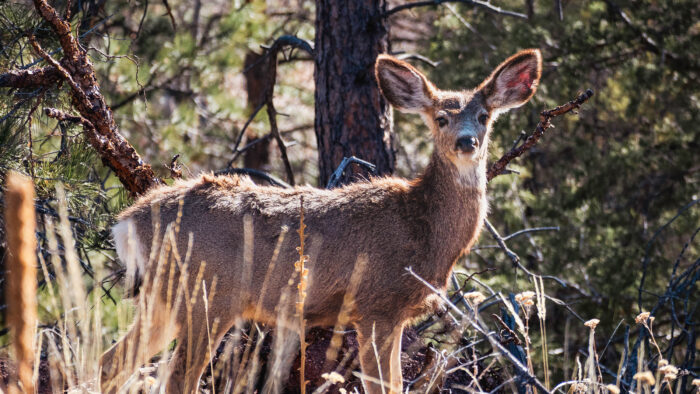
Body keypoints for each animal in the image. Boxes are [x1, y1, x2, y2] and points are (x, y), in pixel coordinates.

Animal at [101, 49, 544, 394]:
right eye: (440, 118)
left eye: (484, 116)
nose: (467, 142)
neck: (422, 229)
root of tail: (127, 223)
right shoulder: (375, 305)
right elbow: (385, 386)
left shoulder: (389, 316)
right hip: (206, 295)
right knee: (176, 378)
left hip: (163, 298)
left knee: (108, 363)